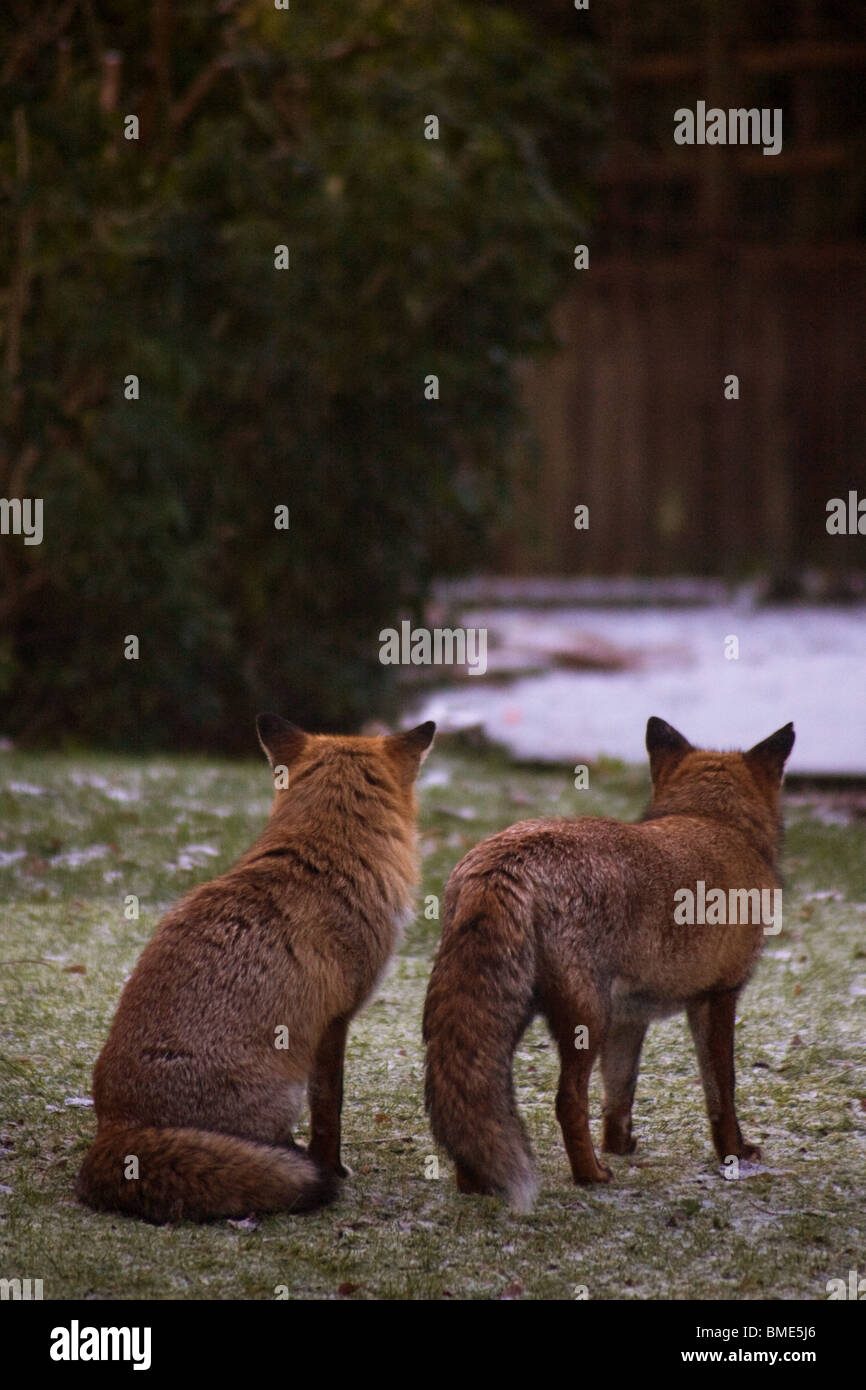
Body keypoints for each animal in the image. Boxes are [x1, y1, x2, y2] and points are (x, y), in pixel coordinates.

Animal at [77, 711, 436, 1223]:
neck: (328, 853)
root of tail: (117, 1126)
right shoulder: (334, 1021)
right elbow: (330, 1108)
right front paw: (333, 1167)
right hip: (281, 1089)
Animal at [422, 717, 795, 1206]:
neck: (713, 821)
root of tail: (505, 859)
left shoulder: (630, 1016)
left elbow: (620, 1093)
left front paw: (619, 1145)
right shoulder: (718, 995)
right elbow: (723, 1092)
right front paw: (734, 1153)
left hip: (512, 1013)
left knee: (473, 1090)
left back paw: (476, 1183)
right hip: (585, 1019)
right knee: (566, 1101)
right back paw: (590, 1175)